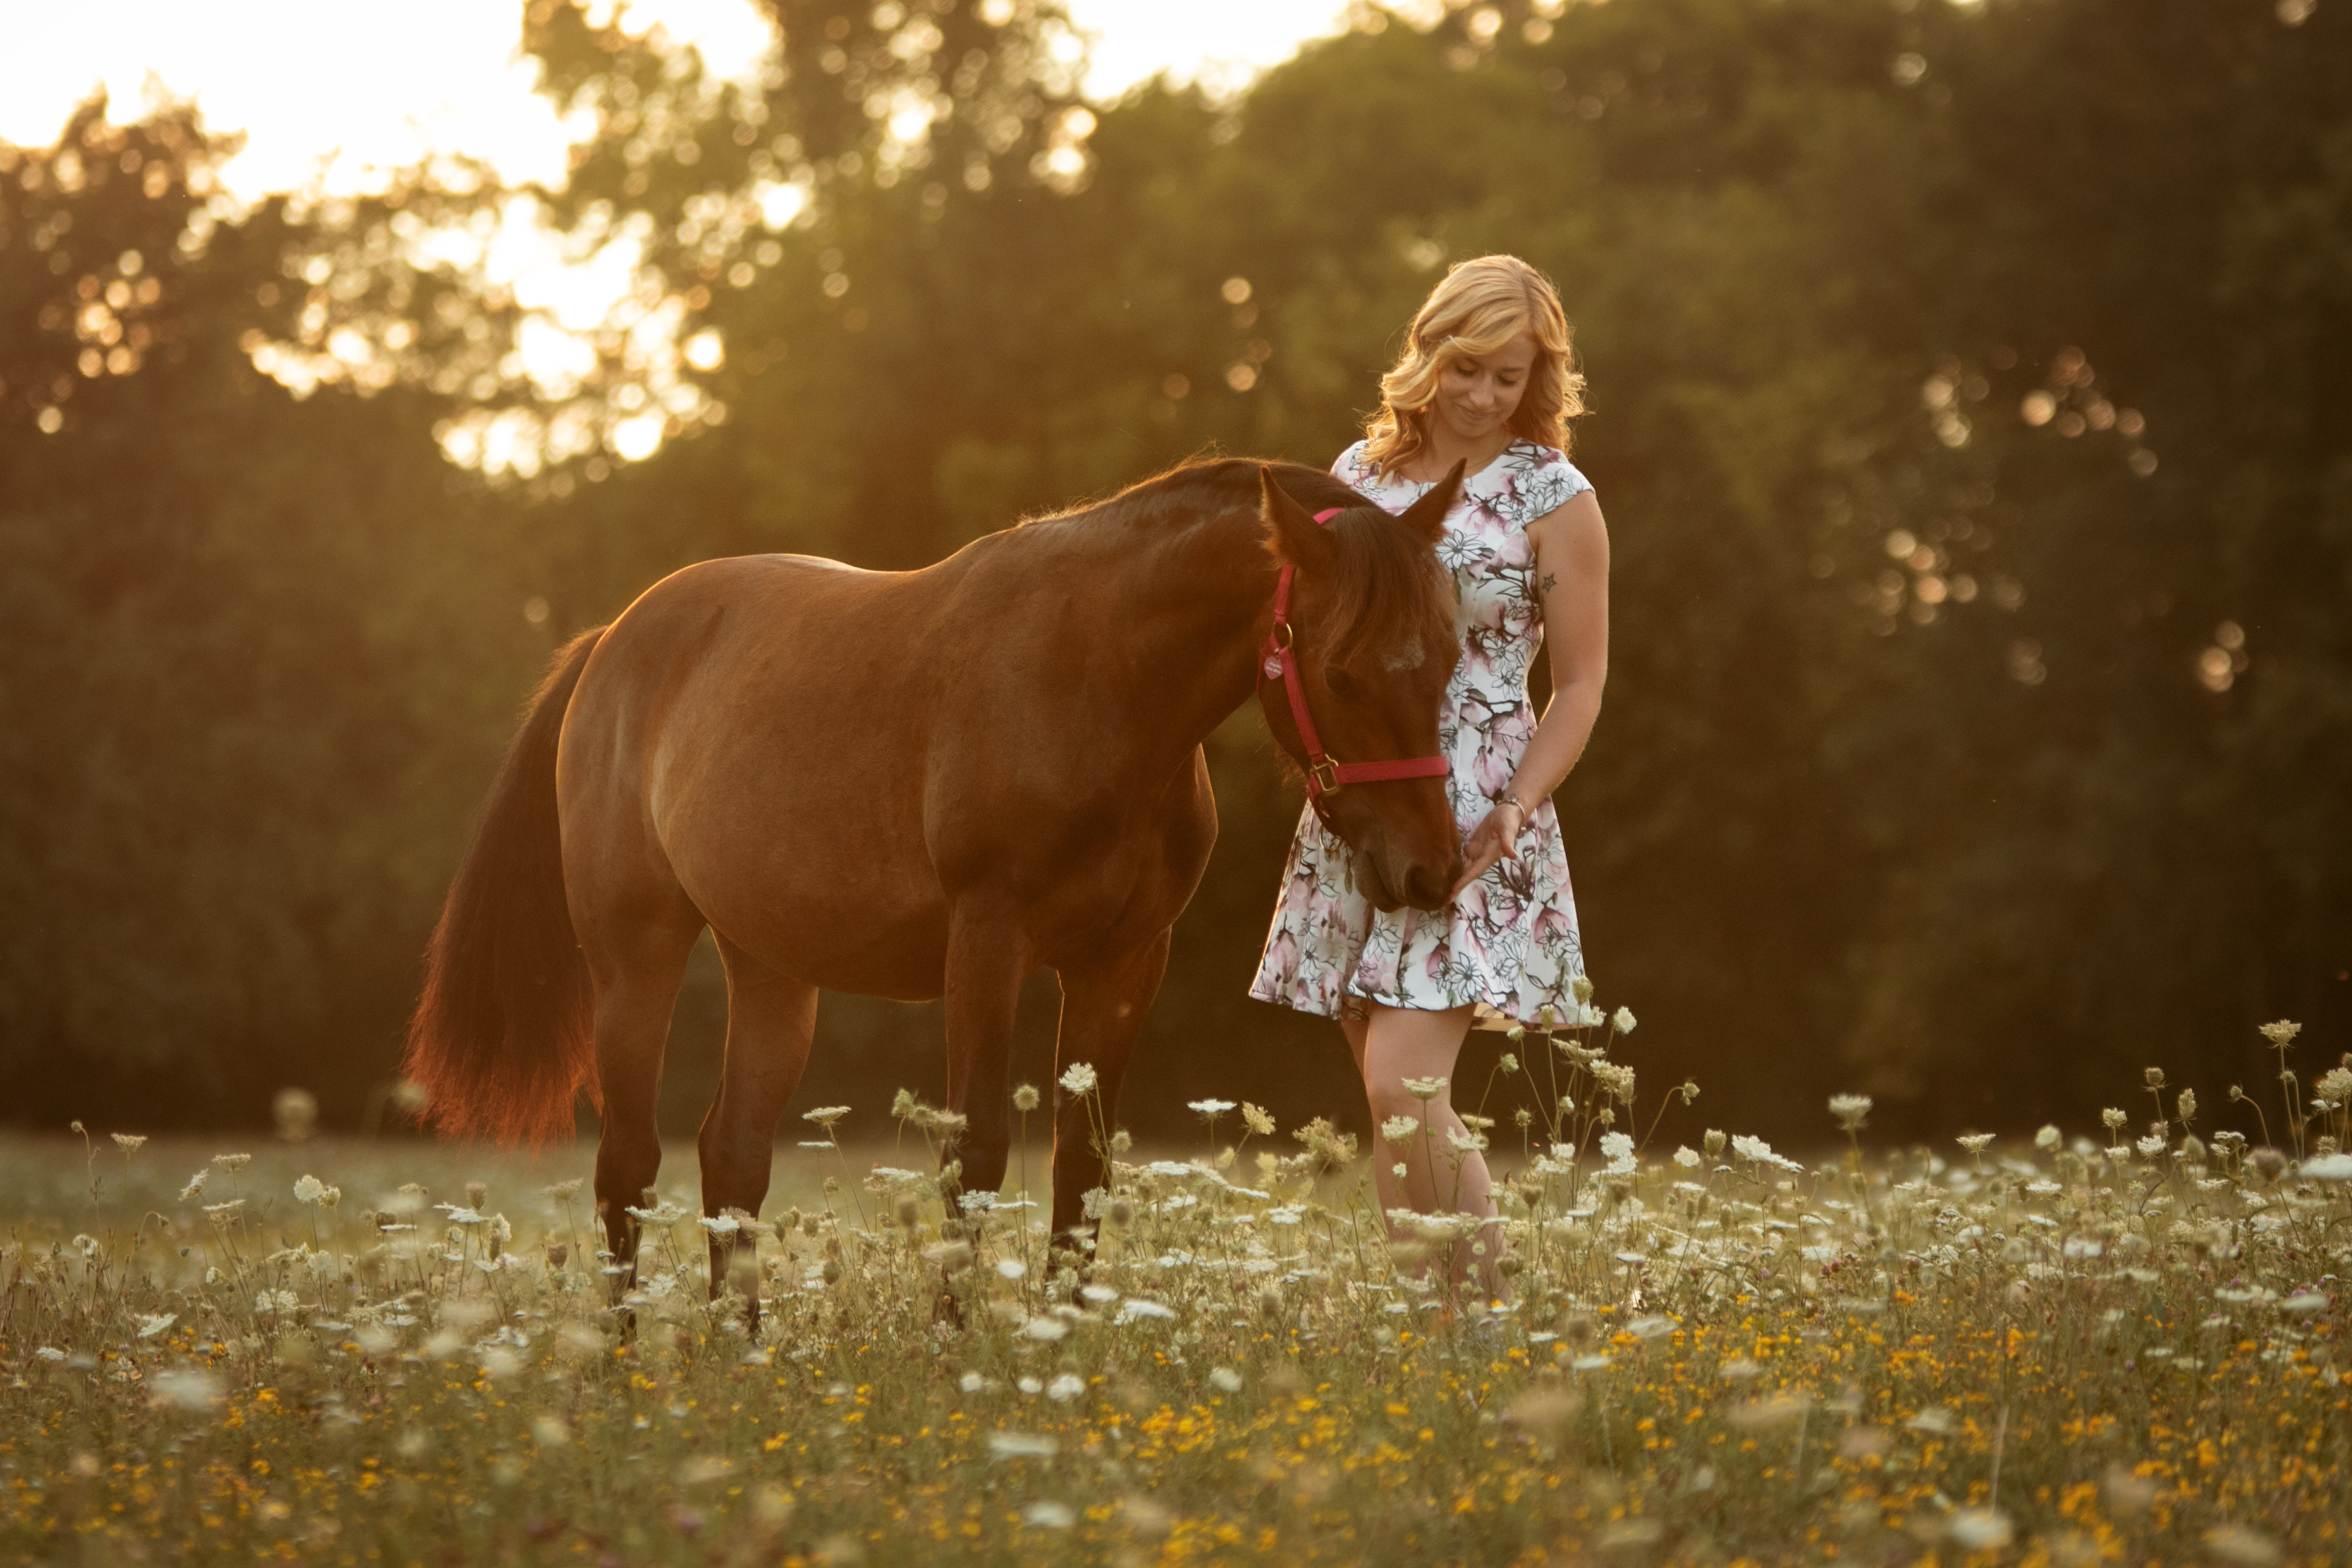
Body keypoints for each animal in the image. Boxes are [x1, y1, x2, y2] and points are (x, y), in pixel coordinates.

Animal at [406, 453, 1467, 1288]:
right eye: (1340, 671)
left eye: (1451, 655)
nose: (1431, 871)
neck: (1101, 678)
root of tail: (612, 644)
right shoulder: (987, 945)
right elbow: (978, 1153)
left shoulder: (1123, 963)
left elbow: (1082, 1166)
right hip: (636, 960)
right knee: (627, 1169)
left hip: (773, 971)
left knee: (732, 1156)